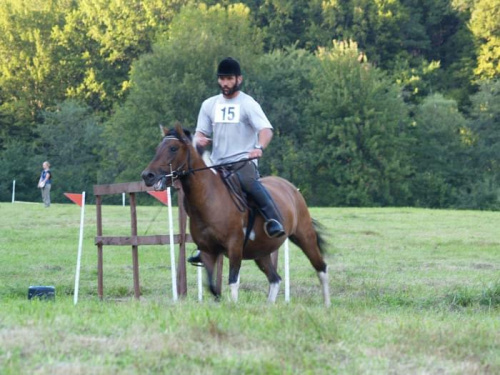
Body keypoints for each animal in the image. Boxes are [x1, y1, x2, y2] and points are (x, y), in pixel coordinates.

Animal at [142, 125, 328, 306]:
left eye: (173, 148)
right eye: (158, 148)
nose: (147, 176)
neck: (209, 198)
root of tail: (292, 189)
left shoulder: (234, 247)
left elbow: (233, 281)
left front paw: (233, 306)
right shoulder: (207, 250)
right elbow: (212, 286)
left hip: (304, 236)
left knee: (321, 268)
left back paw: (326, 305)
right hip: (261, 252)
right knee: (275, 279)